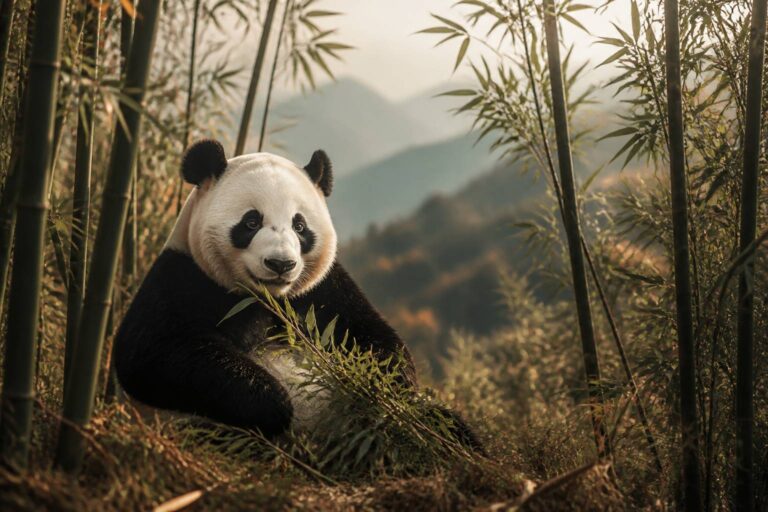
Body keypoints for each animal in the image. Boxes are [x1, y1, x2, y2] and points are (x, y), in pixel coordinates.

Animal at [114, 139, 479, 447]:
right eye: (251, 222)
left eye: (300, 226)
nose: (280, 264)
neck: (266, 299)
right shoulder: (183, 279)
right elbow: (156, 352)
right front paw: (274, 401)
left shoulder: (322, 290)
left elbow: (373, 337)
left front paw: (377, 387)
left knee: (441, 422)